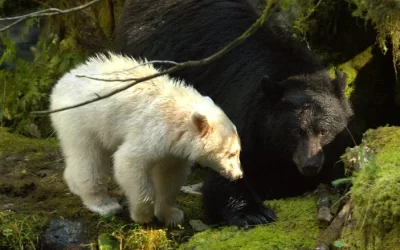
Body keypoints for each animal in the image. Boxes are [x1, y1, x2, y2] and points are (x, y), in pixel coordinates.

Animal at [48, 52, 242, 227]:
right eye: (231, 153)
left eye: (239, 151)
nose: (239, 175)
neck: (176, 116)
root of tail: (60, 83)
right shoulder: (151, 130)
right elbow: (129, 162)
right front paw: (142, 215)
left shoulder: (173, 149)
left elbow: (169, 176)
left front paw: (171, 214)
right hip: (82, 121)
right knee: (89, 159)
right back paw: (103, 204)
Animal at [114, 0, 354, 227]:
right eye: (296, 131)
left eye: (324, 131)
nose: (310, 165)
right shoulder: (244, 112)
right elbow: (230, 165)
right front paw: (252, 212)